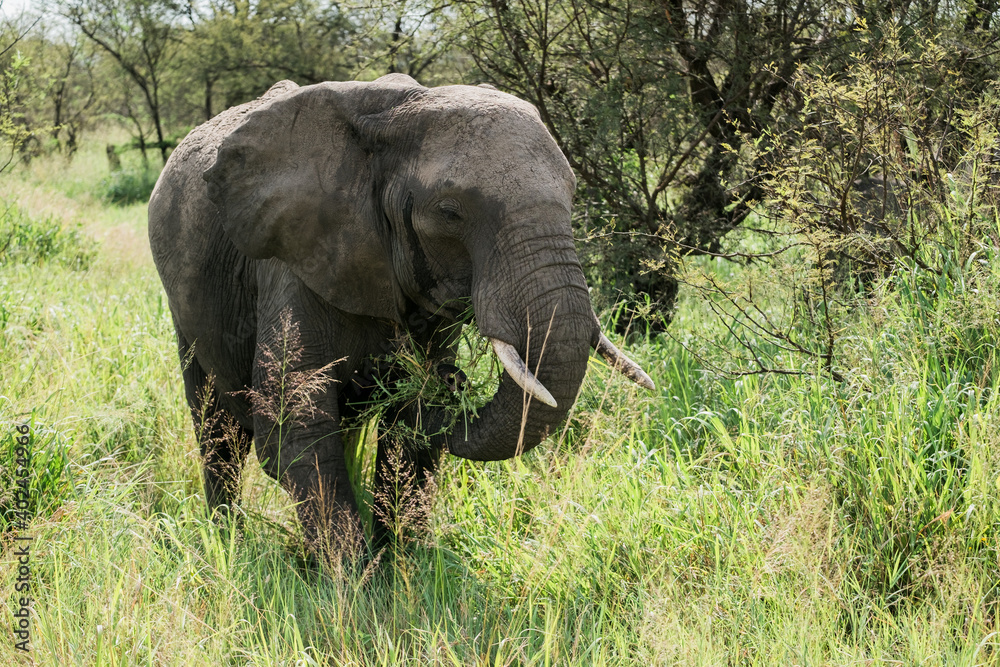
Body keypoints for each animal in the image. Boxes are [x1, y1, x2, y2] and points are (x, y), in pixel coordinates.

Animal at [147, 74, 654, 553]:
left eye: (574, 193)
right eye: (449, 213)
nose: (453, 381)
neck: (391, 115)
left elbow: (405, 440)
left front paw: (402, 564)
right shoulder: (290, 261)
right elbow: (295, 427)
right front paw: (354, 579)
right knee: (218, 429)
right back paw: (226, 540)